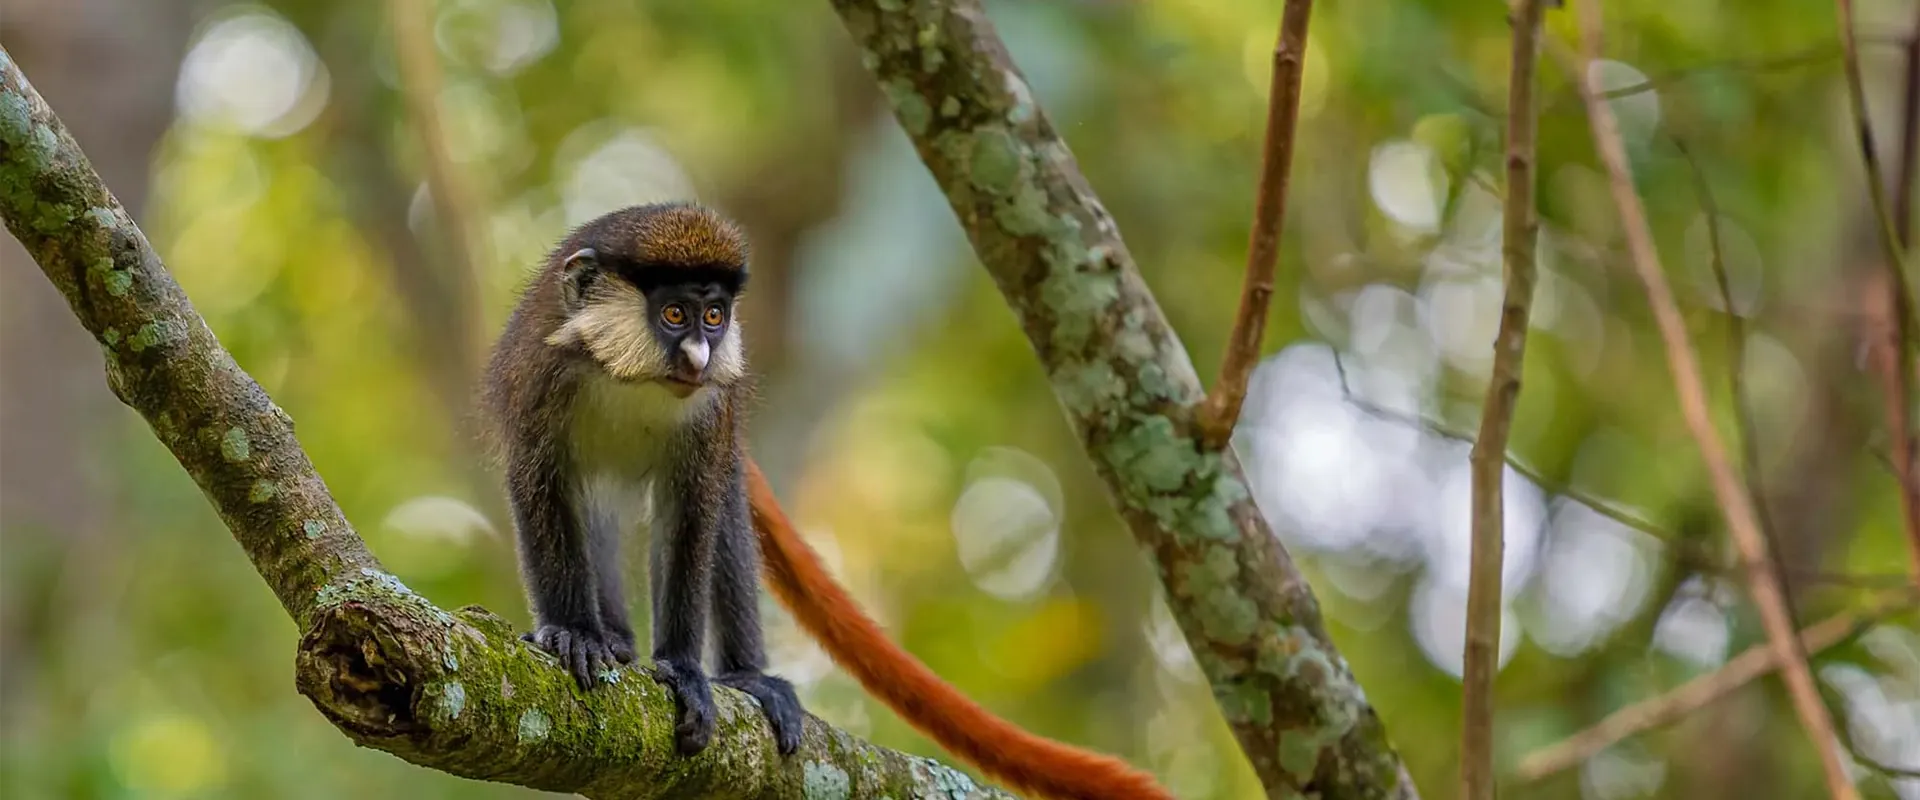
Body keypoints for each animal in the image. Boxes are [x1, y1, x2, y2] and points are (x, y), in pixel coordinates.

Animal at [483, 202, 1177, 800]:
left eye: (714, 316)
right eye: (674, 315)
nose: (703, 356)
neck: (629, 378)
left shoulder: (712, 419)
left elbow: (696, 513)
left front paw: (682, 668)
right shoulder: (538, 383)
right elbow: (540, 483)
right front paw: (574, 633)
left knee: (725, 517)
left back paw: (743, 676)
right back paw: (616, 641)